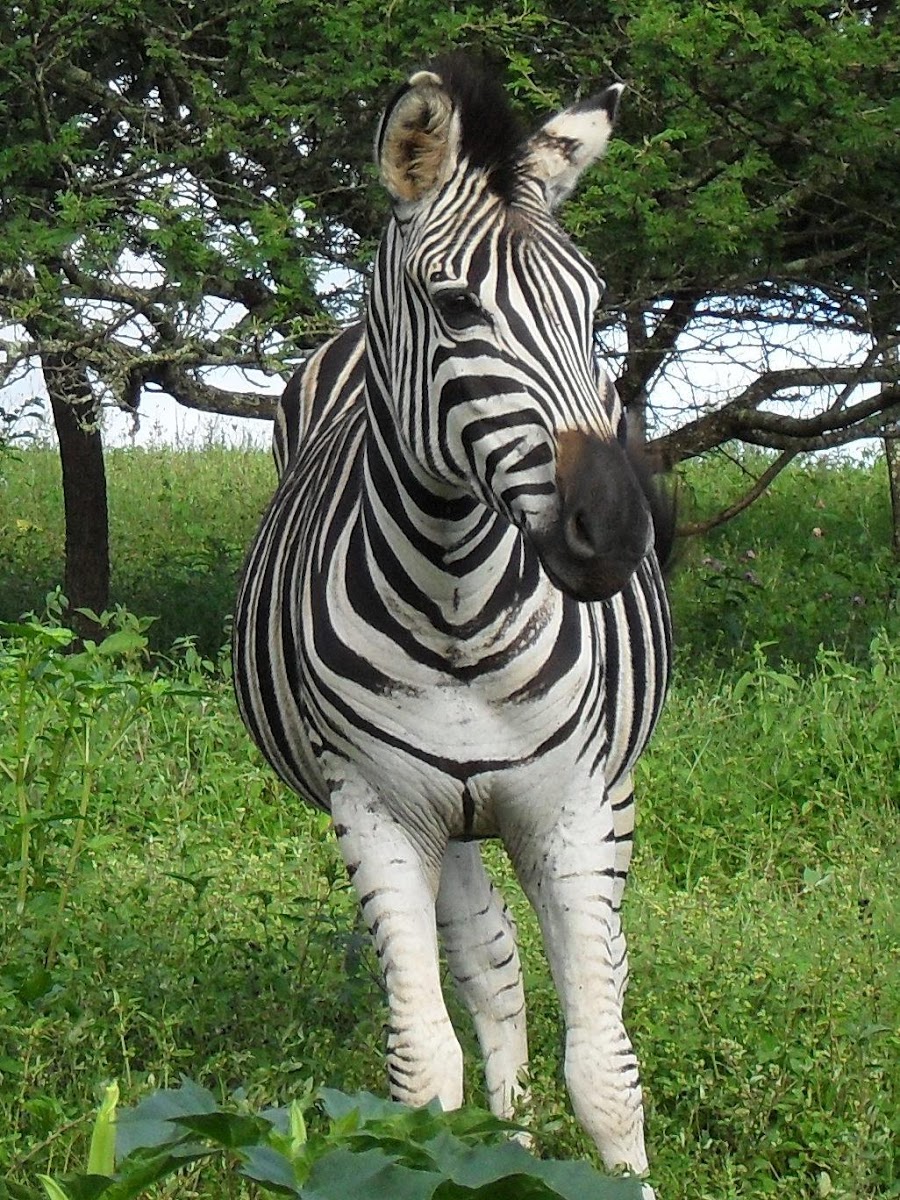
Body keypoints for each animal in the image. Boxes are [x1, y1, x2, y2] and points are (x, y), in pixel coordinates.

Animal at [234, 53, 672, 1188]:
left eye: (593, 304)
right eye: (457, 304)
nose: (616, 531)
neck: (461, 603)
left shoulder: (581, 802)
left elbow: (607, 1067)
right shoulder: (378, 811)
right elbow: (423, 1063)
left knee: (548, 971)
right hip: (451, 815)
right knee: (491, 969)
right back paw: (502, 1146)